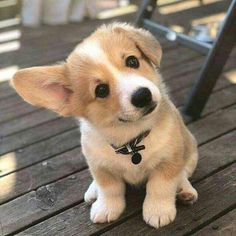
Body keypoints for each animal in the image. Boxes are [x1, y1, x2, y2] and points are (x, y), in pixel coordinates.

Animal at [12, 22, 198, 229]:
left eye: (132, 61)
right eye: (101, 90)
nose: (143, 96)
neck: (131, 139)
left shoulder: (169, 160)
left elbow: (160, 186)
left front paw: (158, 210)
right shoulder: (100, 166)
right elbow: (109, 188)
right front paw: (106, 207)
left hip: (191, 149)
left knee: (183, 173)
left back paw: (185, 190)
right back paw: (93, 192)